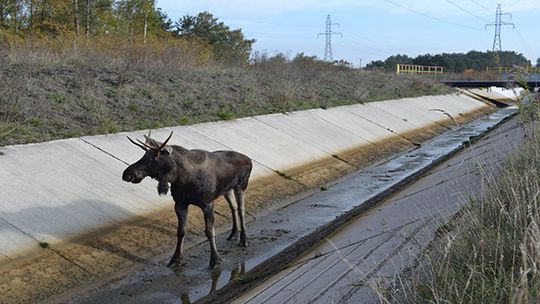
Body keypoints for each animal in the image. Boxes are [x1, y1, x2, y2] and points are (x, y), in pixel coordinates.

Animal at [123, 131, 254, 268]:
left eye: (153, 158)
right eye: (143, 156)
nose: (127, 174)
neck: (181, 178)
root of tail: (249, 159)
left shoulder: (207, 204)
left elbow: (209, 231)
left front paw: (215, 260)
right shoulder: (180, 204)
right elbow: (181, 232)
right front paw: (176, 258)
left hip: (241, 185)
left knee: (241, 209)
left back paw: (244, 239)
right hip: (227, 189)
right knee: (233, 207)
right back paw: (234, 233)